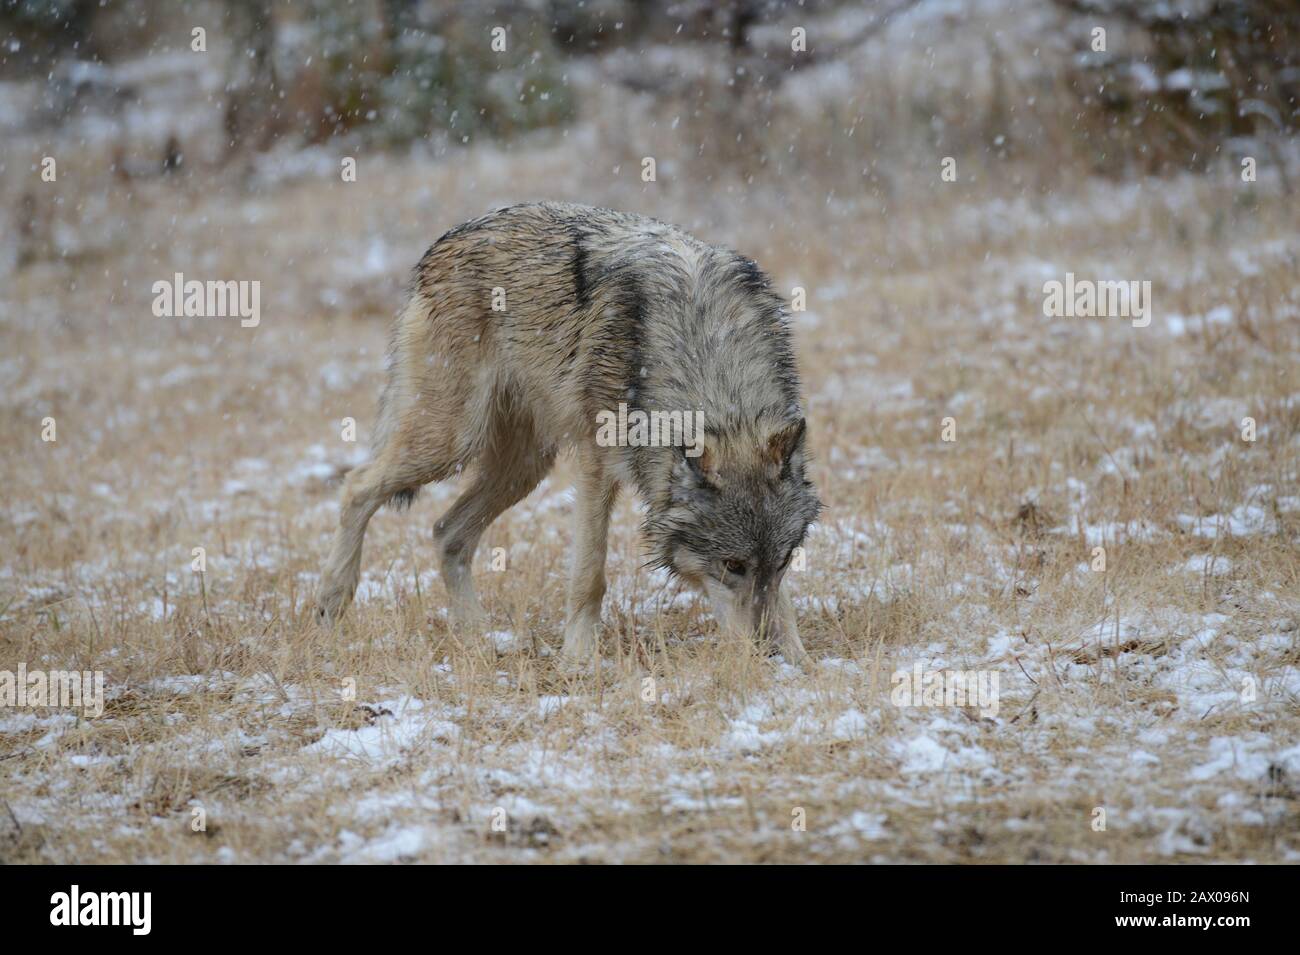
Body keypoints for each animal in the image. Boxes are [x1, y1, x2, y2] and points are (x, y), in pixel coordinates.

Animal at [315, 201, 821, 665]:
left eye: (781, 562)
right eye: (732, 565)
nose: (766, 652)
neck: (713, 367)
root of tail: (449, 236)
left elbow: (782, 599)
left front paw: (798, 655)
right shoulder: (597, 464)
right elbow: (590, 572)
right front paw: (578, 658)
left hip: (525, 467)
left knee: (446, 532)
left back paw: (478, 637)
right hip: (451, 441)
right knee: (357, 486)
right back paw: (331, 600)